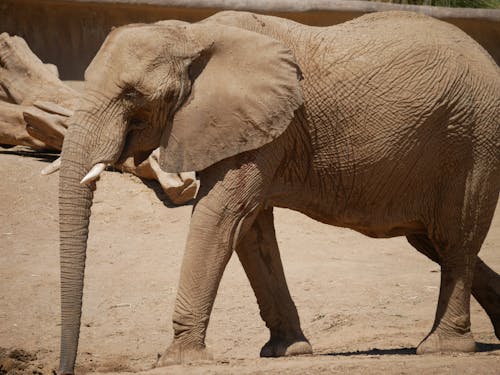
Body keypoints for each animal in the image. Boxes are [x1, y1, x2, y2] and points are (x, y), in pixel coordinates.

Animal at [56, 10, 498, 374]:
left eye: (132, 95)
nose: (63, 370)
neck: (191, 33)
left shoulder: (259, 125)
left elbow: (222, 214)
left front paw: (178, 359)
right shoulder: (252, 127)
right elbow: (250, 230)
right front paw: (288, 351)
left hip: (473, 140)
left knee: (455, 240)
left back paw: (443, 348)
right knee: (429, 241)